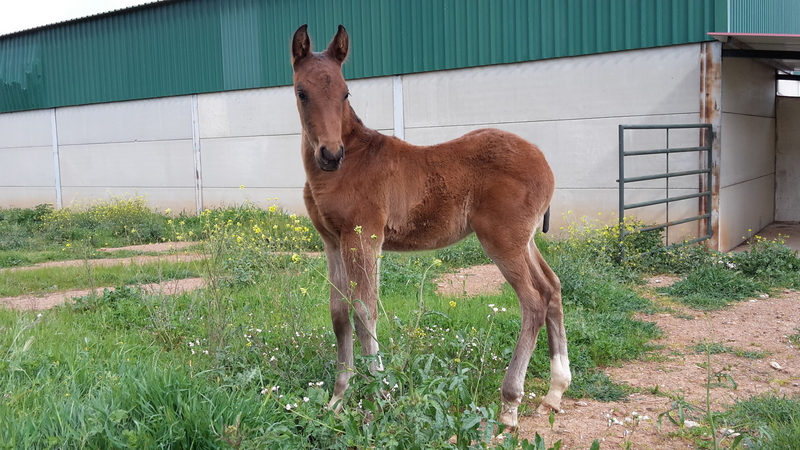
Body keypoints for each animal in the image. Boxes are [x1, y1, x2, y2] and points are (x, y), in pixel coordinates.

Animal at [290, 24, 570, 430]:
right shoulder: (332, 242)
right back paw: (555, 390)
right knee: (552, 287)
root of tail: (545, 163)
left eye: (345, 92)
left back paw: (510, 404)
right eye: (302, 92)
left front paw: (378, 398)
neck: (346, 166)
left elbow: (365, 312)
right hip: (525, 240)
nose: (330, 154)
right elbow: (339, 314)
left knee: (533, 301)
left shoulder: (364, 237)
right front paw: (337, 400)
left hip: (502, 240)